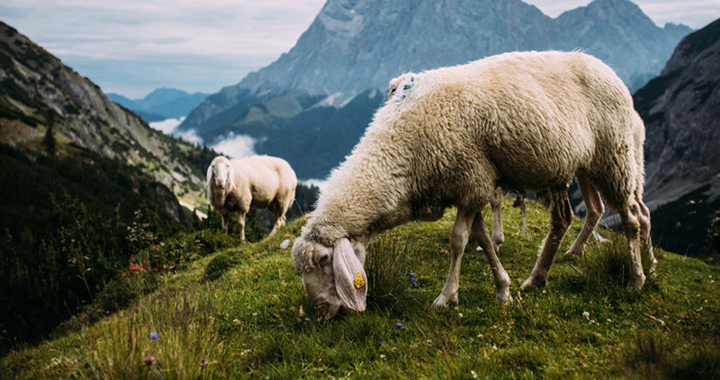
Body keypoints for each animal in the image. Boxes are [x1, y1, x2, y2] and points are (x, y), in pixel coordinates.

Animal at [290, 49, 656, 320]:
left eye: (323, 260)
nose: (321, 312)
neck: (402, 148)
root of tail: (607, 68)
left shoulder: (471, 181)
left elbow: (458, 241)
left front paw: (447, 296)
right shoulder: (471, 185)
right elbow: (481, 238)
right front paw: (503, 289)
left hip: (614, 157)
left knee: (631, 218)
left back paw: (637, 278)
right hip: (571, 166)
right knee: (567, 219)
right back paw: (536, 279)